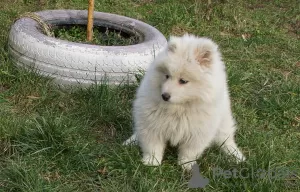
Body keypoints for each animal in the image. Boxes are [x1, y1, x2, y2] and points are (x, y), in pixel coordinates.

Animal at [123, 33, 245, 170]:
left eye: (183, 81)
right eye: (167, 76)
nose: (164, 96)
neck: (179, 107)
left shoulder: (199, 131)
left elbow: (190, 151)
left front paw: (186, 166)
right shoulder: (152, 124)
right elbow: (153, 145)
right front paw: (151, 162)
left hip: (224, 121)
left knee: (226, 139)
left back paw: (235, 155)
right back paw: (130, 141)